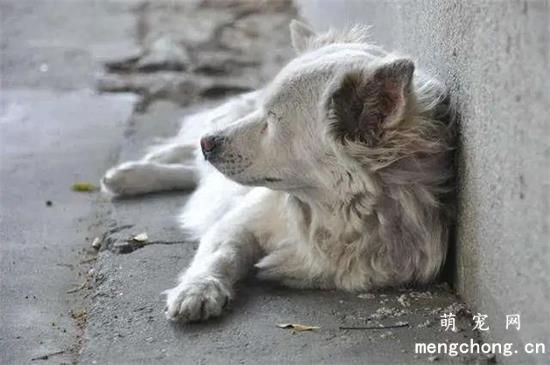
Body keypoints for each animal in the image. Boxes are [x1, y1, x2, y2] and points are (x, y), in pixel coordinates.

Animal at [101, 20, 454, 322]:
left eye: (271, 119)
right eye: (264, 112)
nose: (208, 143)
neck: (333, 214)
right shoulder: (238, 222)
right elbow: (220, 255)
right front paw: (198, 289)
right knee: (190, 159)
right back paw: (134, 171)